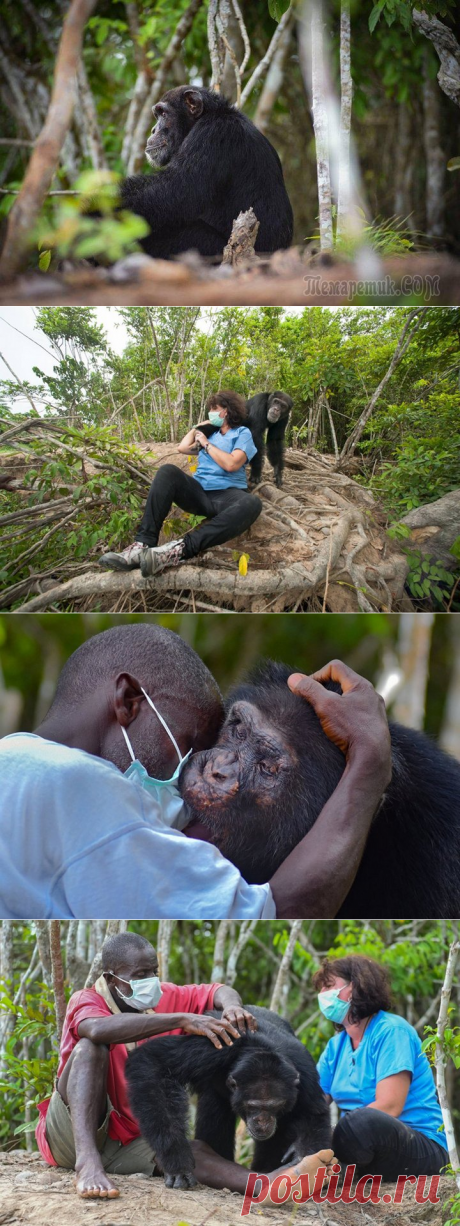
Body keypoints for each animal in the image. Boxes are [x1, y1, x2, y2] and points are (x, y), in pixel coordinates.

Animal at [126, 1005, 331, 1186]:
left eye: (275, 1106)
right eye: (253, 1106)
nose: (263, 1121)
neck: (265, 1048)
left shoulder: (303, 1070)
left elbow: (312, 1113)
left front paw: (303, 1156)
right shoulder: (212, 1047)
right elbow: (154, 1062)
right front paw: (177, 1162)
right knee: (214, 1111)